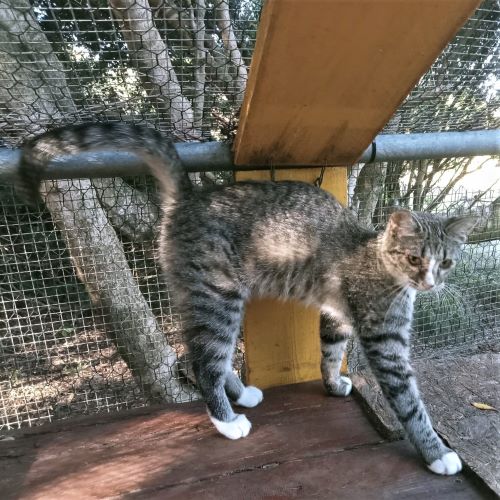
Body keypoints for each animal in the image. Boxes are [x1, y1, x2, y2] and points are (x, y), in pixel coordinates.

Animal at [17, 122, 478, 475]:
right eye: (415, 258)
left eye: (446, 262)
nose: (430, 282)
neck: (376, 257)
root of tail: (190, 198)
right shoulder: (385, 341)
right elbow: (410, 402)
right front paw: (436, 453)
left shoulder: (337, 316)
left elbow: (330, 352)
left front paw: (332, 384)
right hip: (220, 297)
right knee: (204, 362)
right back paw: (226, 420)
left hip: (203, 296)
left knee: (208, 355)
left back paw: (240, 394)